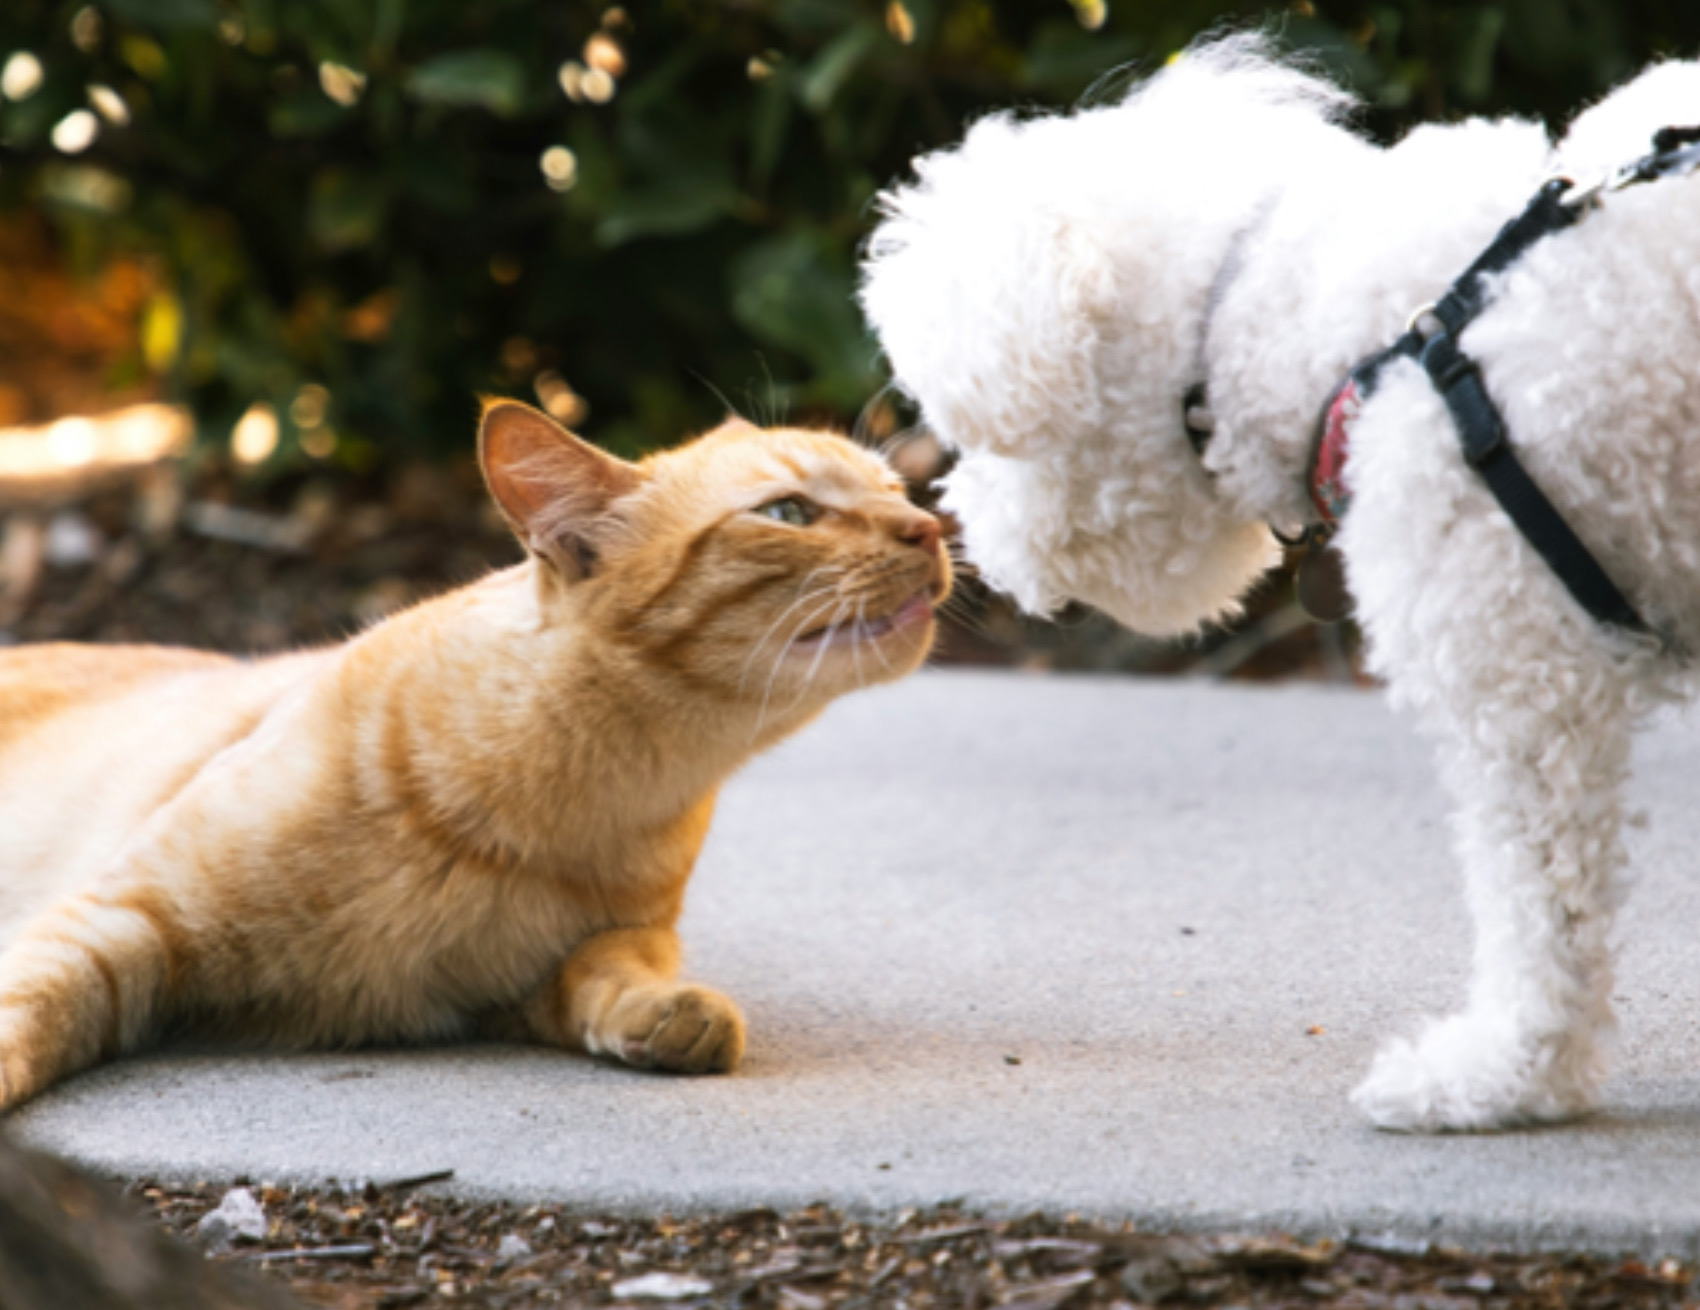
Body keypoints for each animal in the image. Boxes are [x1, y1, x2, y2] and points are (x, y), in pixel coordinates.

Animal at [0, 399, 952, 1107]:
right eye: (789, 512)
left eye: (897, 487)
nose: (930, 527)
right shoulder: (122, 918)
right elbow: (35, 1005)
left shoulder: (545, 973)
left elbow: (608, 971)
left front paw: (668, 1015)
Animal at [863, 35, 1700, 1134]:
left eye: (978, 435)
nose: (956, 527)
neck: (1361, 327)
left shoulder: (1519, 685)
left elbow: (1539, 908)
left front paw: (1503, 1077)